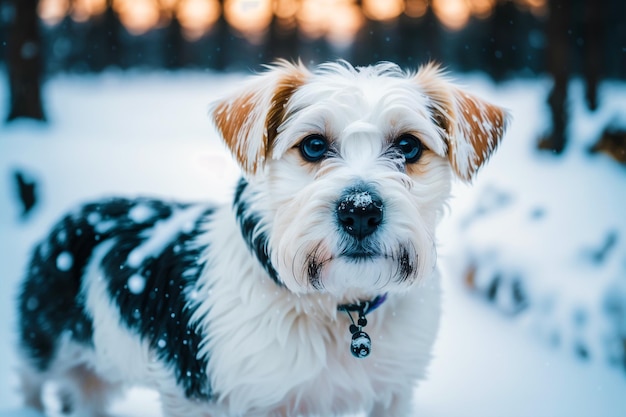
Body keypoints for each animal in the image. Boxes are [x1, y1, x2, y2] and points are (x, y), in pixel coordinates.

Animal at [15, 61, 508, 416]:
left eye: (408, 146)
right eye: (313, 145)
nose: (360, 211)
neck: (333, 304)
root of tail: (73, 215)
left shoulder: (393, 393)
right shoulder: (202, 395)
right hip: (41, 350)